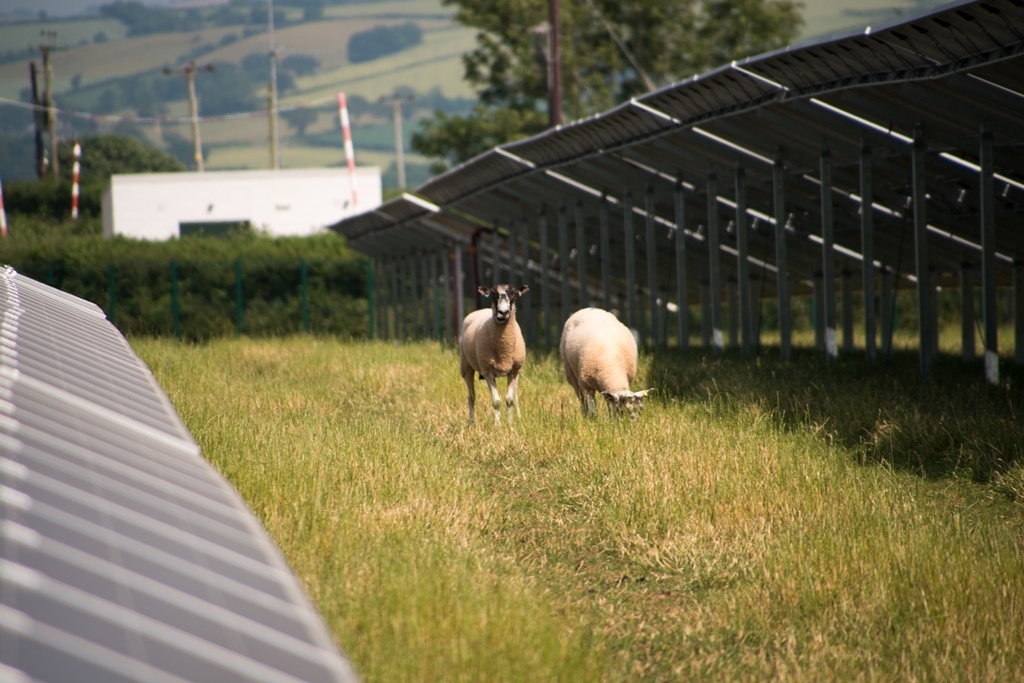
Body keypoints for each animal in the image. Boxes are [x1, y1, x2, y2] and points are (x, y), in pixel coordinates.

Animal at [460, 282, 532, 421]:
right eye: (493, 294)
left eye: (514, 294)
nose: (503, 313)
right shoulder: (487, 372)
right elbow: (496, 402)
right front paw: (497, 425)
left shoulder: (513, 371)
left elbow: (509, 400)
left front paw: (510, 423)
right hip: (466, 367)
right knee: (471, 396)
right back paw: (471, 422)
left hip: (517, 371)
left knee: (515, 395)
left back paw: (519, 416)